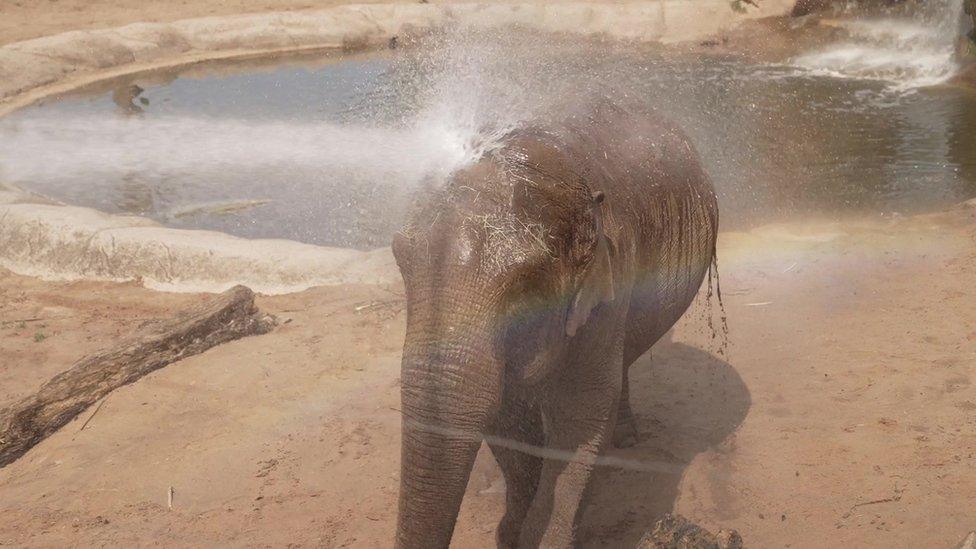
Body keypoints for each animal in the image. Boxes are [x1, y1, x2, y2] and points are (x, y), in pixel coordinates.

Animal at [392, 96, 720, 544]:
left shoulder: (609, 281)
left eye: (524, 284)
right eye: (400, 258)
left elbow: (580, 414)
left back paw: (625, 438)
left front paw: (540, 538)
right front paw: (511, 533)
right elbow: (506, 411)